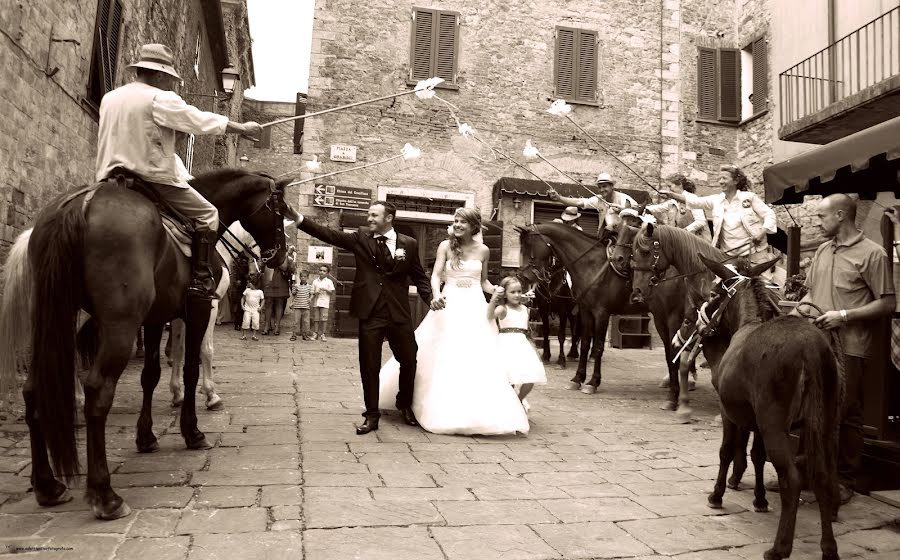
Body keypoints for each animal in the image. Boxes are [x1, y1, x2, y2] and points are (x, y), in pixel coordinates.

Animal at [5, 170, 298, 520]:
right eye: (279, 211)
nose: (281, 261)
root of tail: (79, 206)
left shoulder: (159, 316)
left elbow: (153, 372)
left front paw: (148, 433)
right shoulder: (202, 308)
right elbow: (194, 360)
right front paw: (198, 417)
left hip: (55, 316)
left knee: (36, 386)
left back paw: (47, 484)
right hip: (116, 321)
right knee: (96, 388)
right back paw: (104, 494)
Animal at [516, 222, 684, 398]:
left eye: (529, 246)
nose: (523, 277)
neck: (591, 265)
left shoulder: (601, 313)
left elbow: (597, 346)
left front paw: (592, 382)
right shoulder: (585, 311)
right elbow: (584, 343)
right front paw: (577, 378)